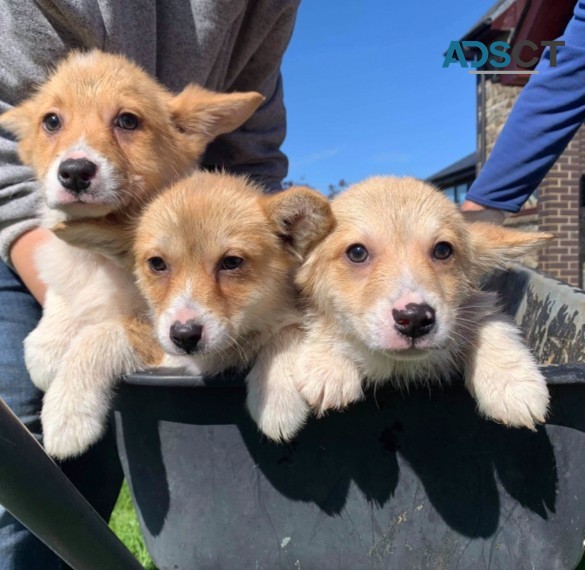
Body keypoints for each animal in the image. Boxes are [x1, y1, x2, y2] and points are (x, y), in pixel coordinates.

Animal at [0, 48, 260, 458]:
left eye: (127, 120)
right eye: (51, 121)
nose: (75, 171)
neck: (100, 254)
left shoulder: (162, 329)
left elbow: (100, 335)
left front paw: (67, 414)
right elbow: (63, 294)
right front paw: (48, 344)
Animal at [288, 175, 552, 432]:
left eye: (443, 250)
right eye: (357, 253)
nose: (414, 319)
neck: (398, 365)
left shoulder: (477, 307)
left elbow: (491, 323)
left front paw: (512, 382)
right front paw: (329, 366)